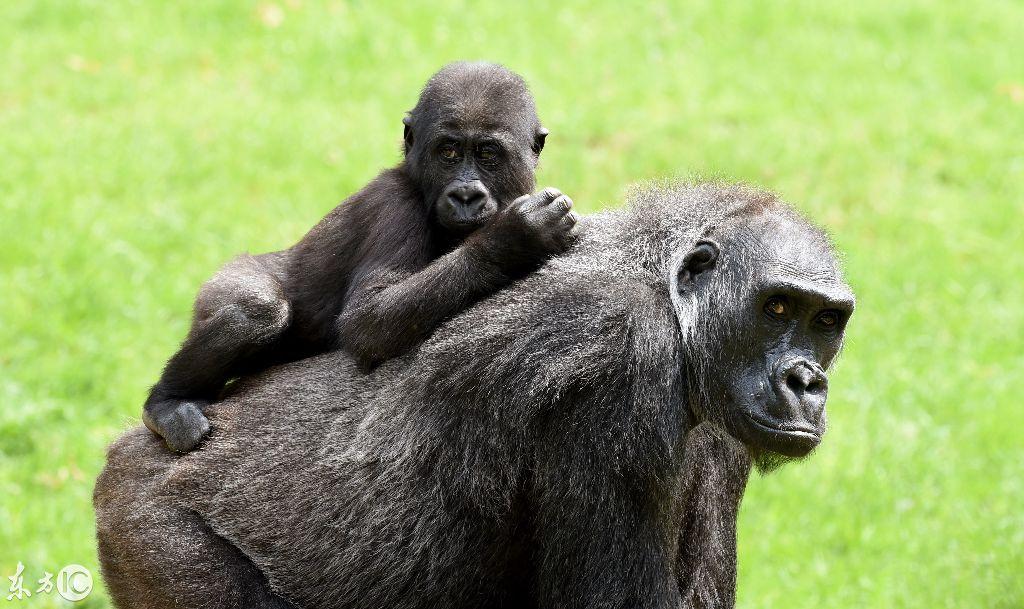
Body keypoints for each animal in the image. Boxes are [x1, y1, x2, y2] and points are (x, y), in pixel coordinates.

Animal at [96, 183, 856, 605]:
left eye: (826, 321)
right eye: (777, 308)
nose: (806, 381)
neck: (669, 295)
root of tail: (128, 453)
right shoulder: (621, 366)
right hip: (151, 531)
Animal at [145, 61, 581, 452]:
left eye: (488, 154)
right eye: (449, 152)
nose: (465, 196)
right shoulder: (395, 205)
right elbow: (367, 321)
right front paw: (513, 238)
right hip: (229, 276)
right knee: (257, 311)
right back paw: (166, 402)